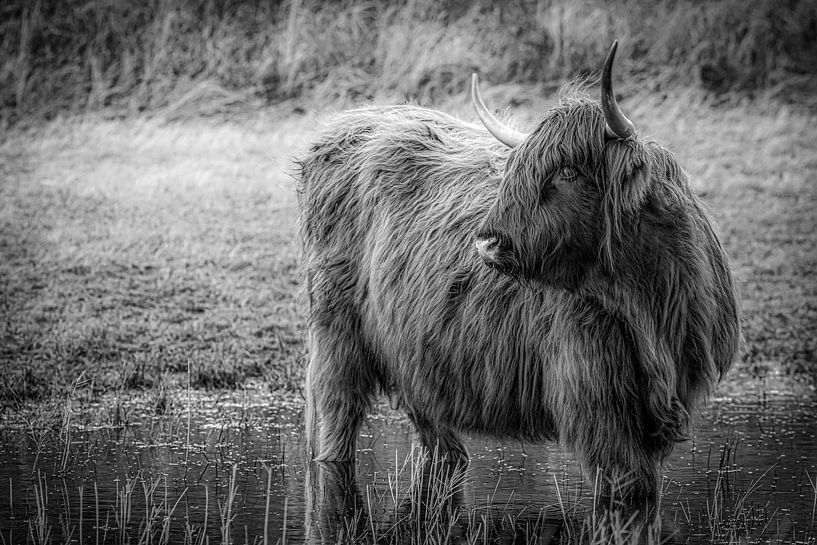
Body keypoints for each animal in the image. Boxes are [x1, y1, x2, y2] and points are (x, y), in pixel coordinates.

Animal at [298, 43, 740, 510]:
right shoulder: (593, 393)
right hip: (335, 333)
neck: (647, 304)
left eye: (567, 172)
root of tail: (346, 125)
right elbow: (626, 483)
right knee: (336, 412)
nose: (487, 243)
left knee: (435, 429)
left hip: (412, 344)